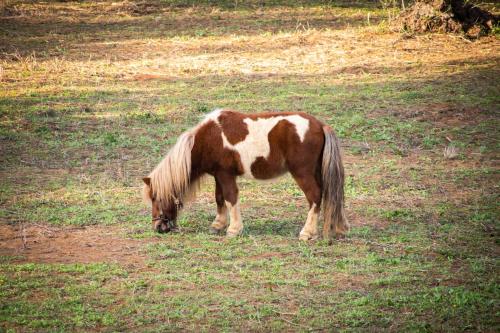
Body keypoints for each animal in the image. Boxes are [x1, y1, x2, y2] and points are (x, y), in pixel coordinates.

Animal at [143, 110, 348, 240]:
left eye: (155, 198)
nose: (157, 227)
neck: (208, 139)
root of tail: (320, 125)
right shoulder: (219, 175)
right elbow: (219, 199)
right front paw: (218, 225)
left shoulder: (226, 175)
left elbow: (230, 198)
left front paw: (234, 229)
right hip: (316, 172)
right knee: (329, 196)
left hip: (302, 173)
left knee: (315, 197)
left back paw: (307, 233)